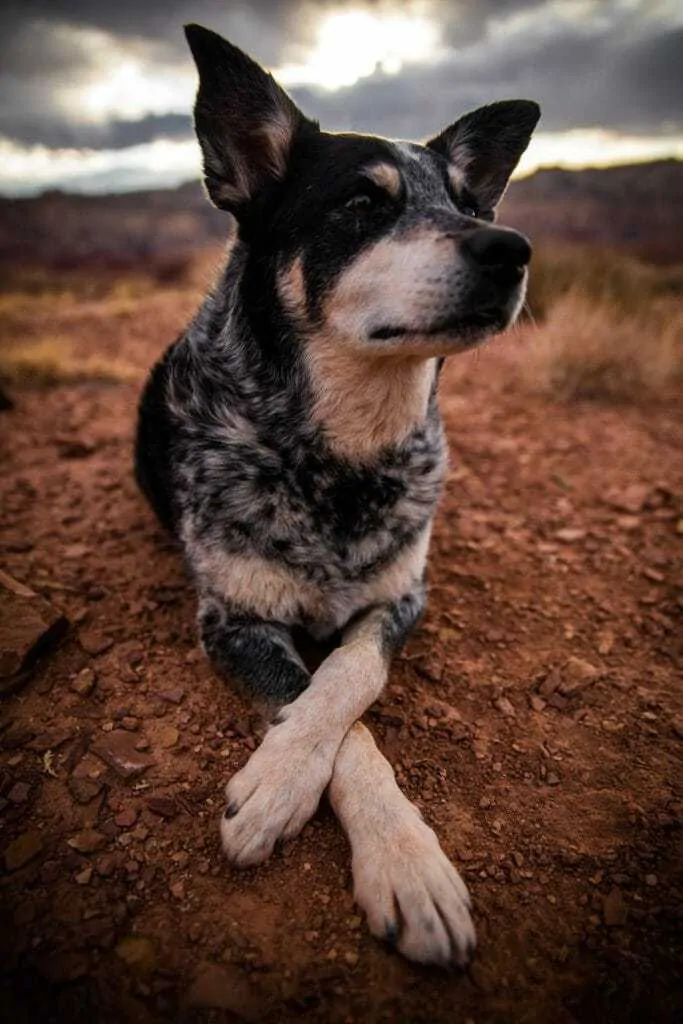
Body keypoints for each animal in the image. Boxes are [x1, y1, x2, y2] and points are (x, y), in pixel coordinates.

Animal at [135, 24, 540, 966]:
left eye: (471, 208)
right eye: (361, 203)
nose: (509, 249)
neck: (340, 454)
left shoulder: (402, 598)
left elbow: (348, 679)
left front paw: (402, 858)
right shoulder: (234, 619)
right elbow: (322, 714)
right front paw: (287, 791)